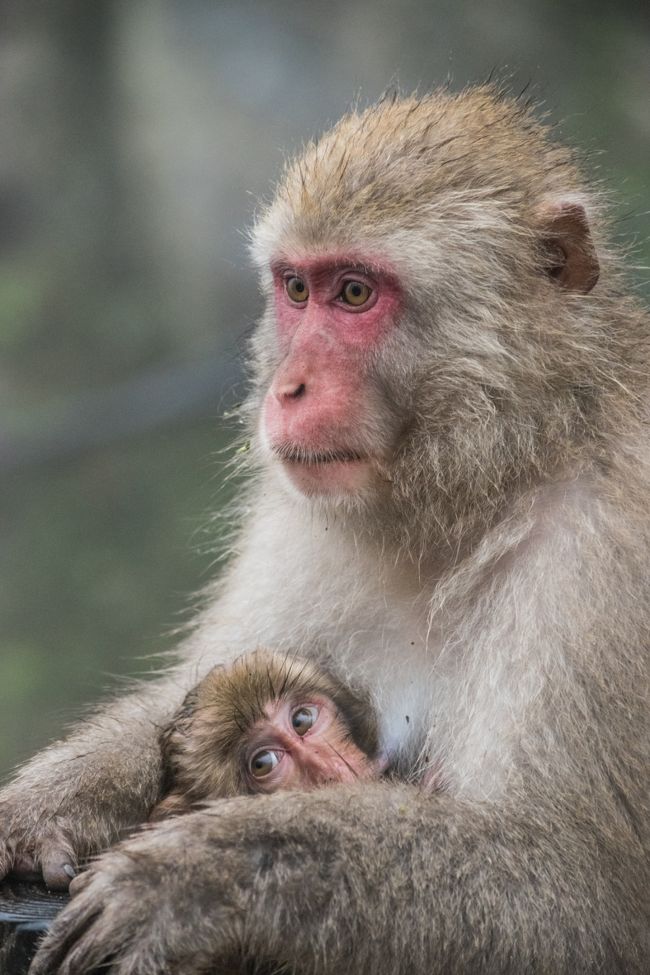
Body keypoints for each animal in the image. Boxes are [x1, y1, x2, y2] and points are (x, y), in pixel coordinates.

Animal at [2, 86, 644, 975]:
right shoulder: (301, 515)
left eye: (355, 294)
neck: (489, 474)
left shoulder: (602, 556)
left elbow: (566, 895)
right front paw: (50, 802)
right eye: (297, 290)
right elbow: (202, 692)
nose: (289, 387)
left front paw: (197, 876)